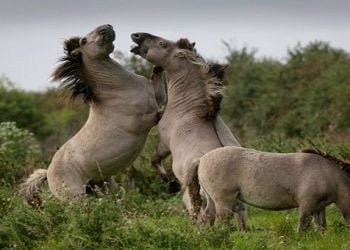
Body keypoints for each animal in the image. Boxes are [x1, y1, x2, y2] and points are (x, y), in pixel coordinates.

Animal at [19, 24, 165, 206]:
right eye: (83, 40)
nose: (106, 27)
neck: (120, 89)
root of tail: (48, 173)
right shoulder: (144, 121)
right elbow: (162, 113)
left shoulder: (156, 98)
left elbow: (158, 80)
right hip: (77, 197)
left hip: (105, 186)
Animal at [129, 32, 243, 221]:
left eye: (163, 43)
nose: (136, 36)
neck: (191, 110)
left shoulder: (164, 143)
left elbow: (155, 160)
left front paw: (171, 184)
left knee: (204, 214)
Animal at [187, 146, 350, 232]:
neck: (326, 172)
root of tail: (201, 159)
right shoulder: (307, 205)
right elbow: (303, 226)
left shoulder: (319, 207)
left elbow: (321, 226)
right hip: (224, 201)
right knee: (223, 221)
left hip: (212, 200)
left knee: (207, 218)